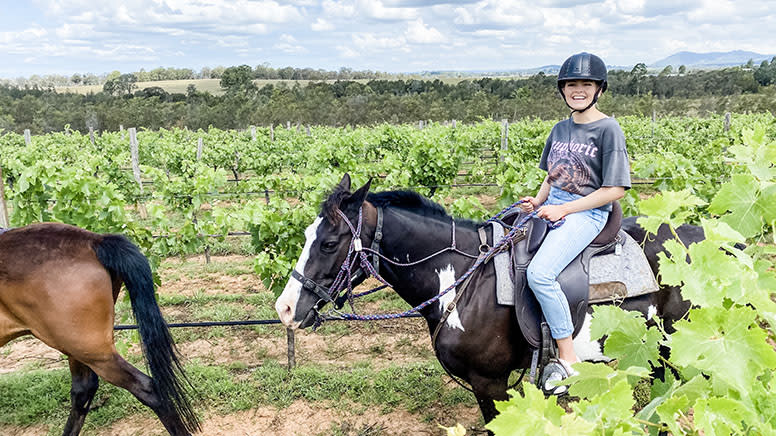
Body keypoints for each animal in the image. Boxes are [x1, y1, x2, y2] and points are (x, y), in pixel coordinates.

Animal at [276, 175, 700, 426]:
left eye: (329, 243)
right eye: (306, 235)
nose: (285, 308)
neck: (464, 281)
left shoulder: (490, 383)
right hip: (656, 352)